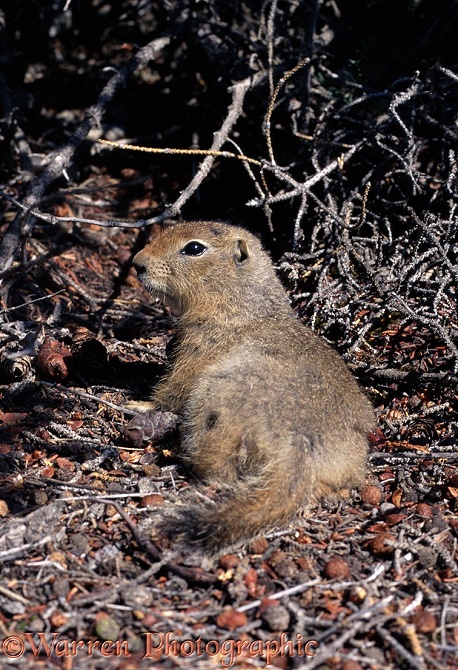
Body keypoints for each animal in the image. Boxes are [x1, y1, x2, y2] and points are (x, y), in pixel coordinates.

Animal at [128, 223, 372, 552]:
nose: (137, 263)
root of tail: (298, 444)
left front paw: (138, 404)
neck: (242, 303)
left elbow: (173, 388)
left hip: (214, 399)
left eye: (194, 248)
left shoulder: (200, 346)